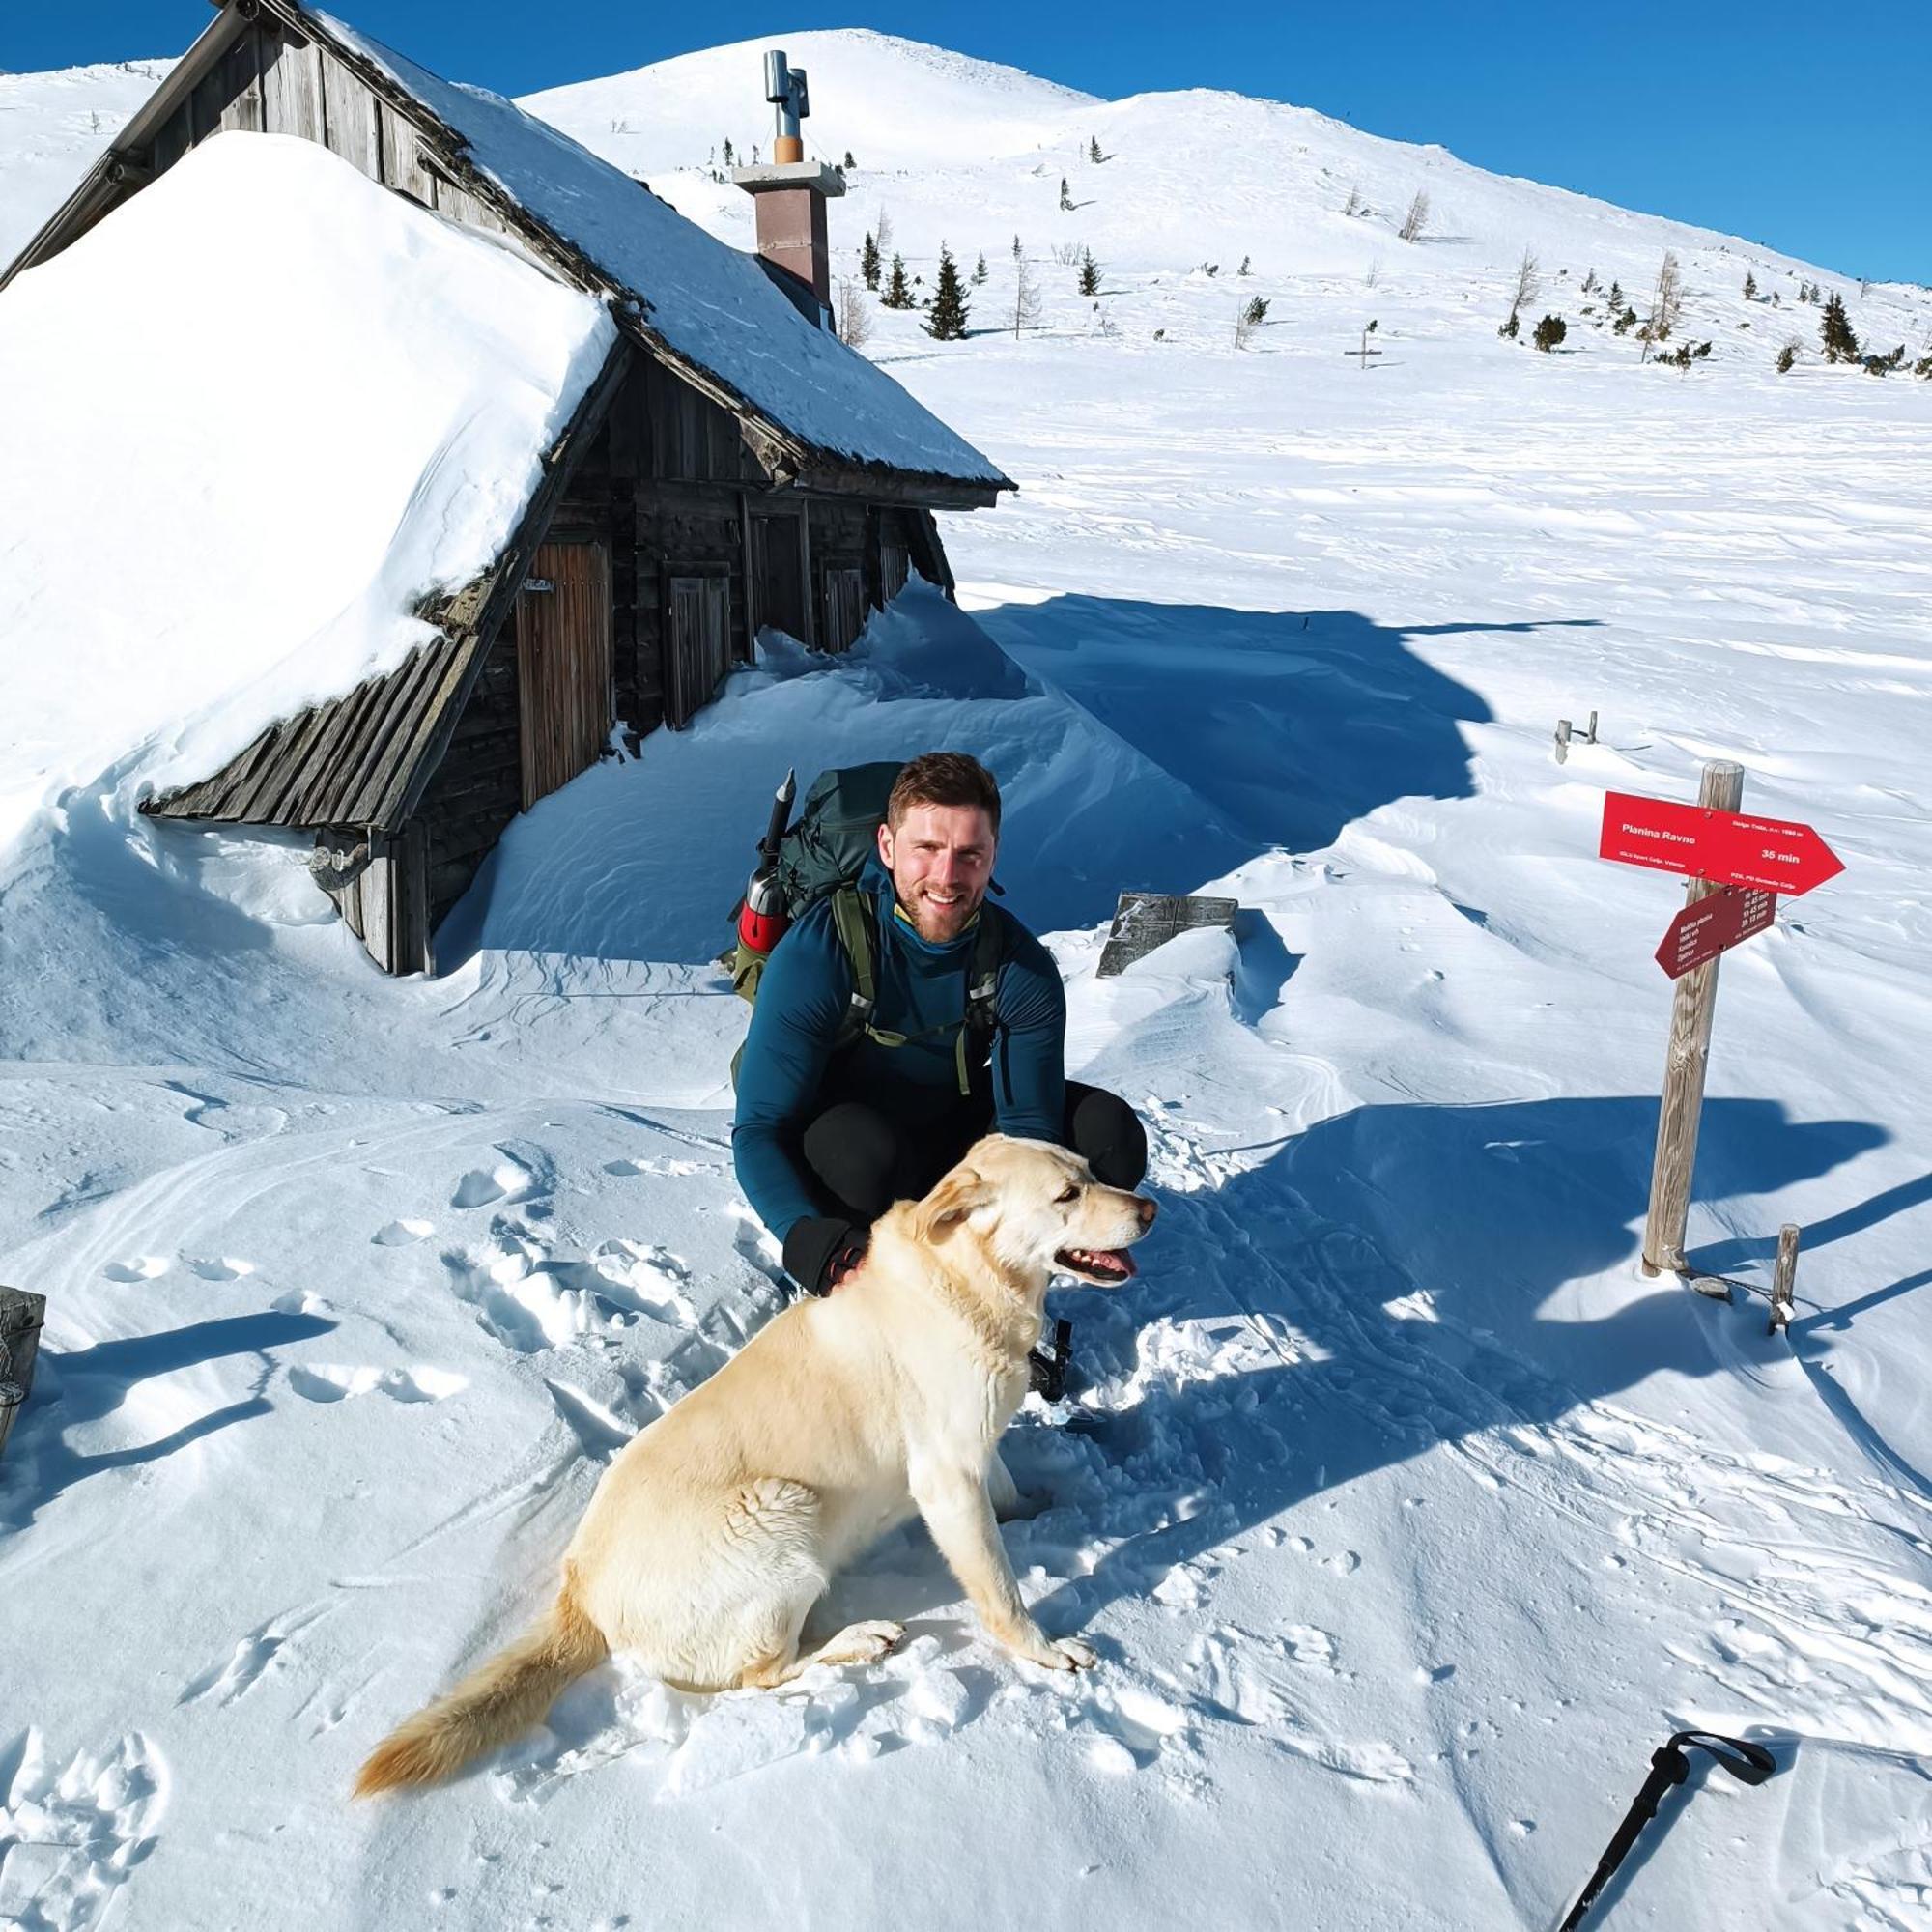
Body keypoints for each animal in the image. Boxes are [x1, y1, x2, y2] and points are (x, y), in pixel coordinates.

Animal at [355, 1128, 1151, 1793]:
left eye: (1090, 1171)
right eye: (1066, 1195)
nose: (1147, 1208)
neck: (966, 1281)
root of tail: (580, 1592)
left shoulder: (974, 1449)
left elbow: (1010, 1490)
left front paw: (1046, 1509)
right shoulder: (946, 1479)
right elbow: (1001, 1593)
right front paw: (1045, 1653)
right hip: (782, 1513)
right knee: (761, 1675)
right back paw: (859, 1640)